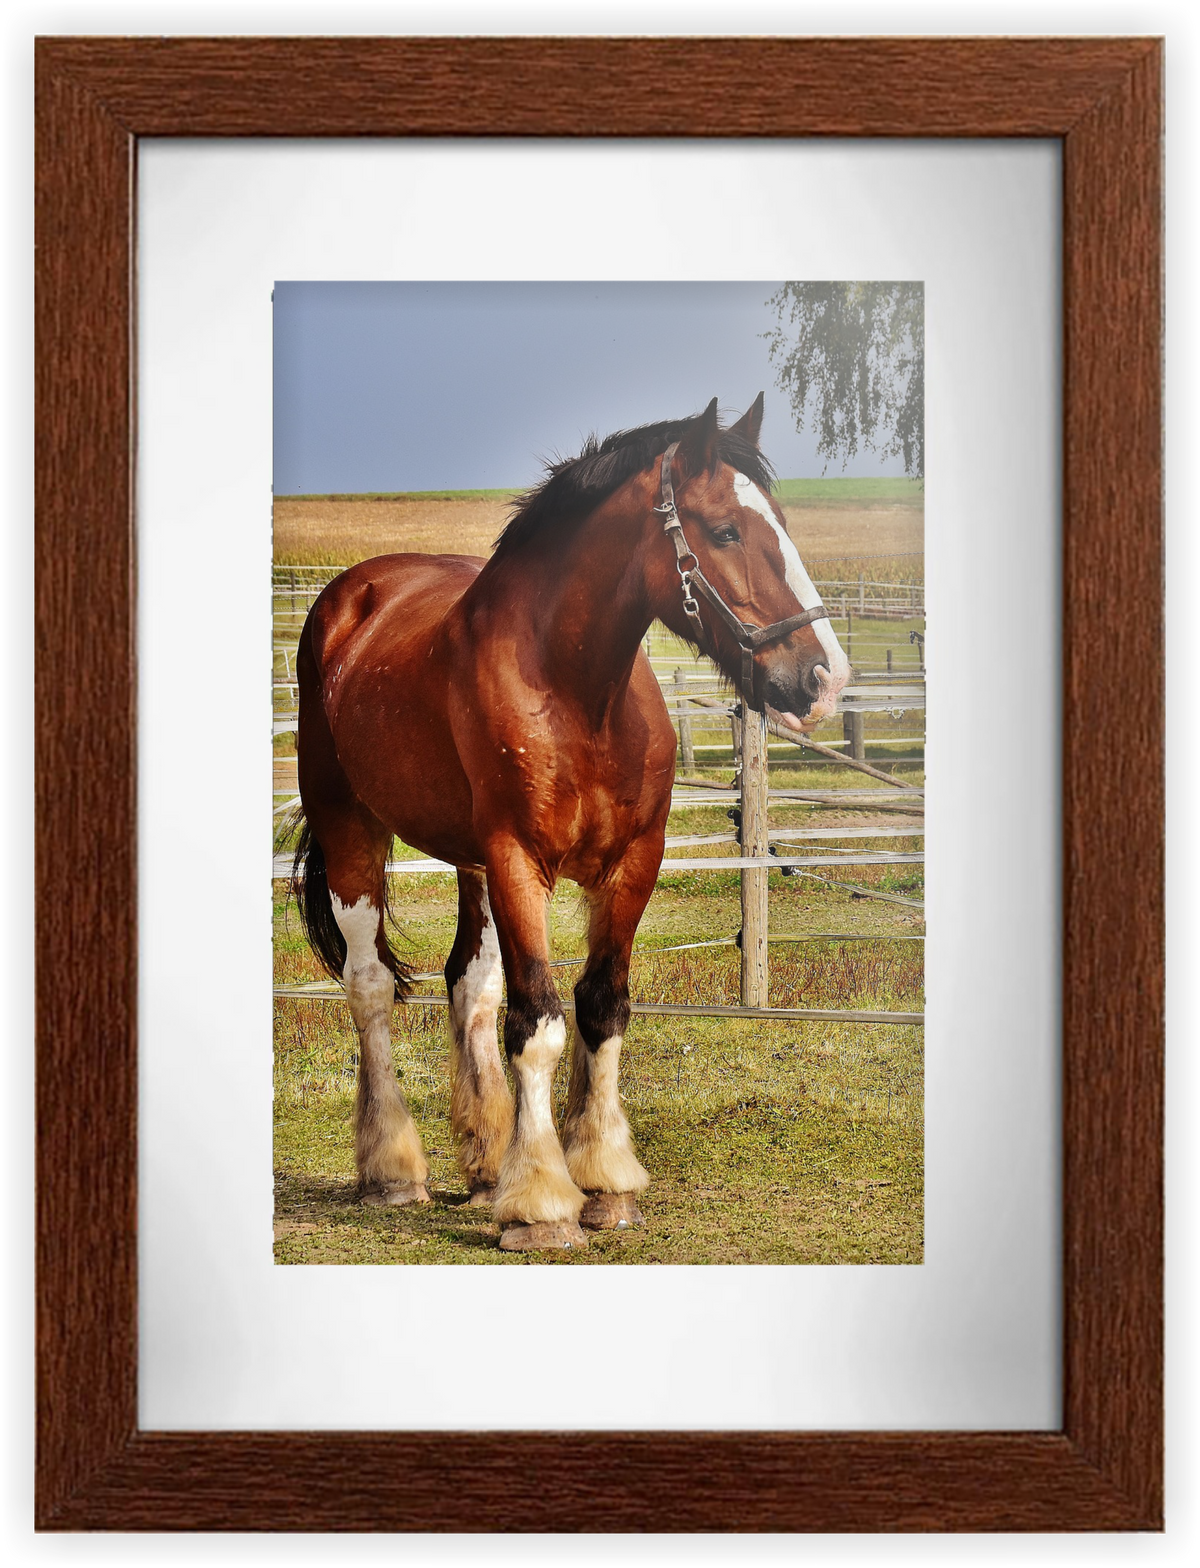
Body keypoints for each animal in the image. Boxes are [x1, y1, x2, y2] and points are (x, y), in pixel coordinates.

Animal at [288, 394, 850, 1251]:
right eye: (726, 531)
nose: (823, 679)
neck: (578, 692)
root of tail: (349, 597)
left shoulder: (631, 861)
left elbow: (599, 1007)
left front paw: (603, 1183)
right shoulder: (519, 860)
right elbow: (540, 1022)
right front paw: (543, 1206)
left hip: (470, 864)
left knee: (469, 984)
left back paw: (486, 1165)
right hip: (353, 828)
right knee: (371, 987)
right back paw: (393, 1170)